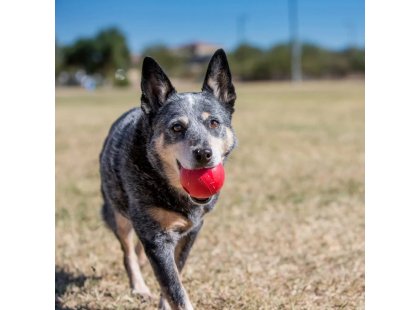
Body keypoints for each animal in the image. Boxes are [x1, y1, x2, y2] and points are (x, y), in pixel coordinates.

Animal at [98, 49, 236, 308]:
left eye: (214, 122)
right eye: (176, 127)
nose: (204, 153)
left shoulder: (192, 230)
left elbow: (175, 274)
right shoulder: (155, 238)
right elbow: (174, 287)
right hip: (118, 213)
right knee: (128, 252)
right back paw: (139, 287)